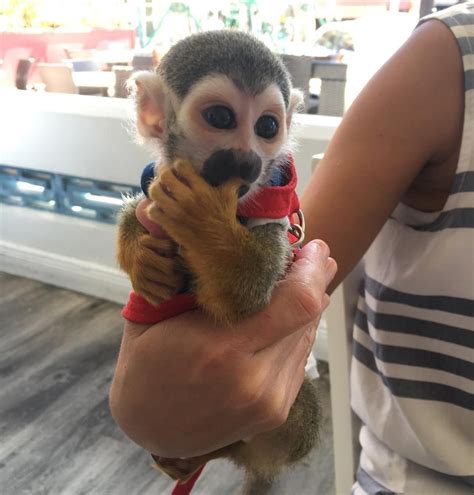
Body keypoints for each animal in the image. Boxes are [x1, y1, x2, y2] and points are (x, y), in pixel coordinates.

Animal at [116, 31, 320, 495]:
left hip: (290, 423)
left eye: (267, 127)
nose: (246, 161)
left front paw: (202, 217)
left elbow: (246, 293)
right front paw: (141, 259)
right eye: (220, 117)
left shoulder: (273, 211)